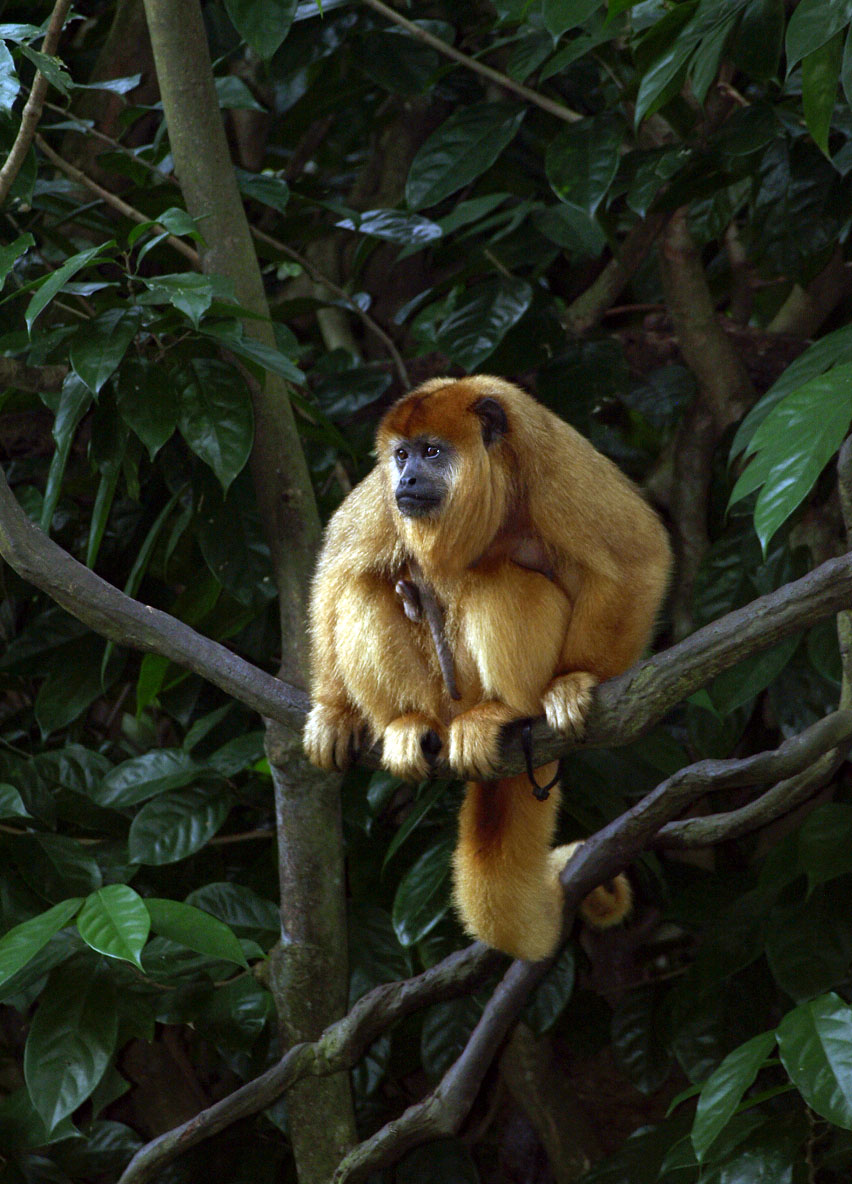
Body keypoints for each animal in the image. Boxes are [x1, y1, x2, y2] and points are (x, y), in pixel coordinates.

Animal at [303, 376, 672, 961]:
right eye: (402, 455)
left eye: (433, 452)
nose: (407, 477)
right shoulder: (383, 497)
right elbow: (336, 574)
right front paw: (334, 712)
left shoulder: (553, 462)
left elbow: (638, 558)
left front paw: (573, 681)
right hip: (440, 697)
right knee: (366, 588)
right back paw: (405, 723)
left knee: (497, 577)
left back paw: (507, 712)